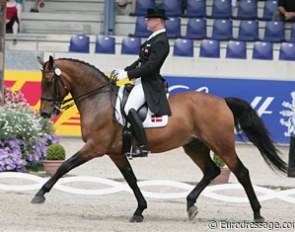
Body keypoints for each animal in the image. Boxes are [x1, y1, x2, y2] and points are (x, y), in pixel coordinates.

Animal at [31, 56, 288, 223]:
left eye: (49, 82)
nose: (45, 113)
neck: (99, 101)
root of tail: (222, 101)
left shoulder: (94, 147)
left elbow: (64, 166)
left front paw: (40, 194)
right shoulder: (115, 152)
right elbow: (131, 180)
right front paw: (139, 210)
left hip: (221, 144)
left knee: (241, 172)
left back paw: (257, 214)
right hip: (194, 146)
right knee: (211, 171)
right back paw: (190, 205)